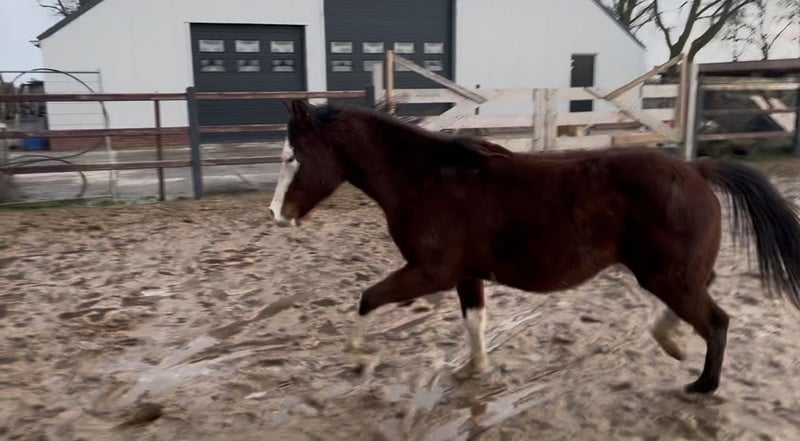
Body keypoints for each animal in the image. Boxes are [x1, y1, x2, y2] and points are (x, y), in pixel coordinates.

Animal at [269, 99, 800, 394]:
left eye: (294, 156)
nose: (276, 214)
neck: (428, 179)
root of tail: (697, 170)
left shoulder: (430, 272)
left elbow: (367, 298)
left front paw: (359, 357)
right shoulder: (466, 275)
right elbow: (475, 322)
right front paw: (475, 370)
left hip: (666, 275)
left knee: (717, 321)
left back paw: (702, 385)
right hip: (672, 273)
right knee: (705, 298)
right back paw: (670, 341)